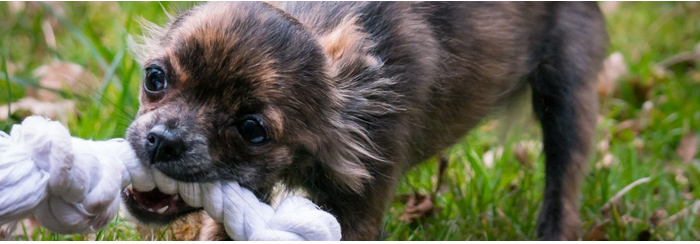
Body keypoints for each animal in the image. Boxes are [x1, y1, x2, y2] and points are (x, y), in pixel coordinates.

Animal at [121, 1, 608, 240]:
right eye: (154, 78)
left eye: (252, 129)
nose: (163, 140)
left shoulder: (357, 208)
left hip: (567, 100)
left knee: (562, 191)